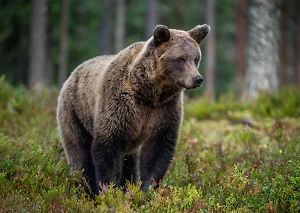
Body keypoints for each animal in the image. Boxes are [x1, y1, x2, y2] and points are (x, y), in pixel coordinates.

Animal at [57, 24, 210, 196]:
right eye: (180, 59)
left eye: (196, 58)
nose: (197, 79)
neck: (149, 92)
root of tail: (73, 73)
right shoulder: (120, 105)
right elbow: (107, 146)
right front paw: (108, 189)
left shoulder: (164, 108)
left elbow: (159, 148)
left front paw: (147, 188)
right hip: (75, 112)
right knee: (81, 155)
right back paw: (87, 188)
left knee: (129, 163)